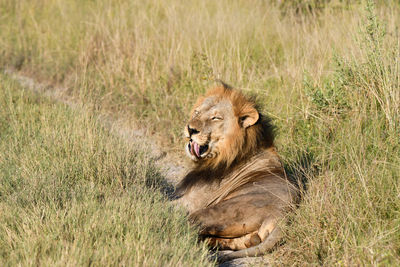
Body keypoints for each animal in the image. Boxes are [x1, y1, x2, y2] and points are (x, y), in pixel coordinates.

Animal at [173, 82, 298, 262]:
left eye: (215, 118)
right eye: (196, 112)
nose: (190, 129)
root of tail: (286, 214)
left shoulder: (190, 202)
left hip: (214, 211)